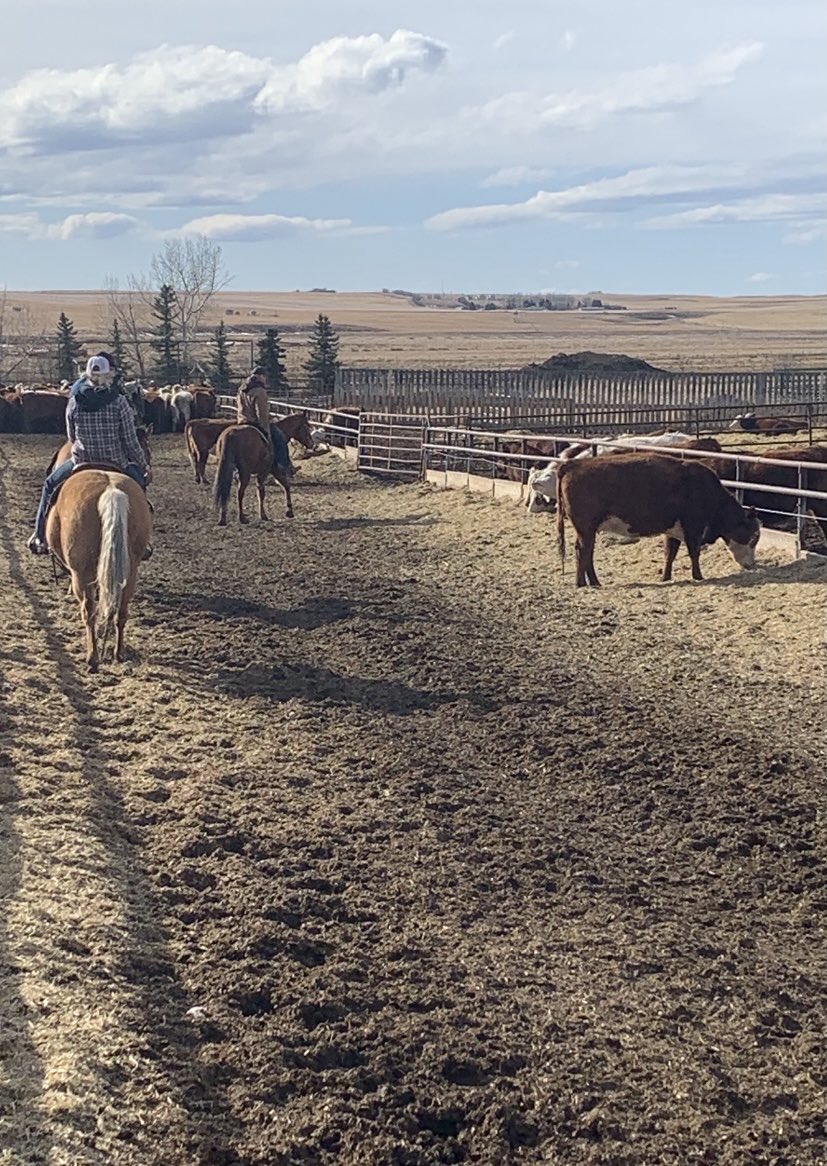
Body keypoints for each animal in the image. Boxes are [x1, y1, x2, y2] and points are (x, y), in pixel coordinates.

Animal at [45, 469, 153, 671]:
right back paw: (118, 654)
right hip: (130, 572)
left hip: (82, 573)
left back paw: (92, 658)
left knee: (89, 611)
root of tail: (111, 491)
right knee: (121, 612)